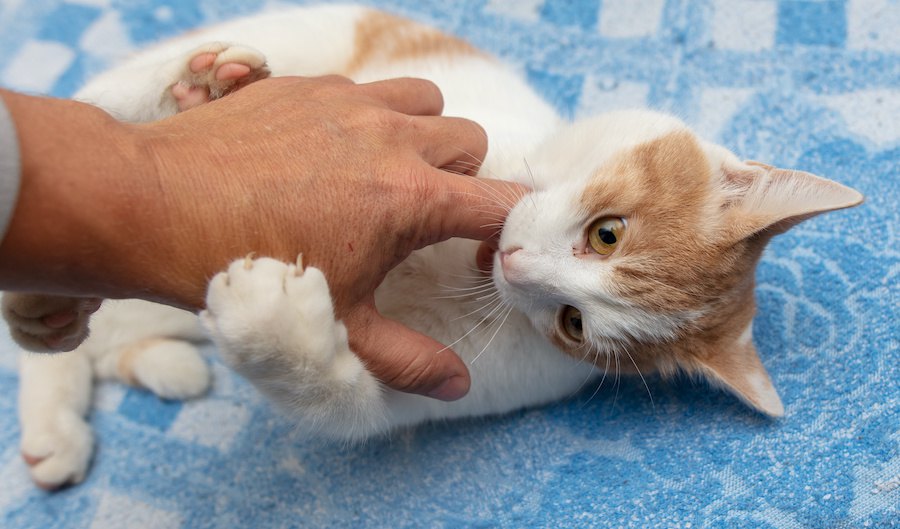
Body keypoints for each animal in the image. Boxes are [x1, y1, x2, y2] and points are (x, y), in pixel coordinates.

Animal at [3, 5, 860, 490]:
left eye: (574, 324)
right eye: (607, 231)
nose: (516, 266)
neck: (459, 273)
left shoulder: (428, 380)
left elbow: (340, 395)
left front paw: (270, 323)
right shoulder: (434, 119)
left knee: (91, 328)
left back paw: (78, 365)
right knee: (105, 116)